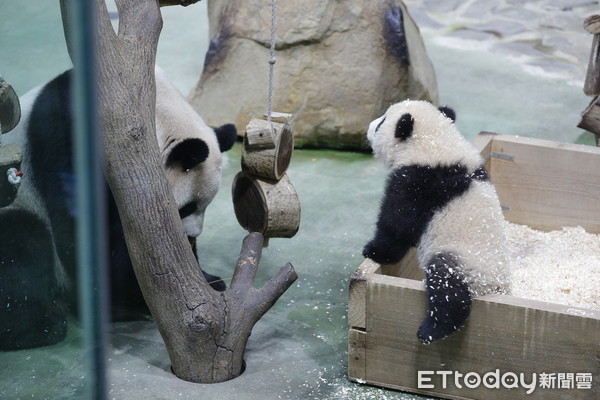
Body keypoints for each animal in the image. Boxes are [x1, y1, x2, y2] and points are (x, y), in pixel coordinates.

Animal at [0, 67, 238, 348]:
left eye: (205, 206)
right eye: (187, 207)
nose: (192, 235)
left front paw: (207, 280)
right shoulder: (66, 132)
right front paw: (129, 297)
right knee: (23, 244)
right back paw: (41, 326)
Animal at [364, 99, 508, 344]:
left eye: (382, 122)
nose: (369, 126)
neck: (435, 144)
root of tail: (491, 289)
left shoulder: (418, 183)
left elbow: (397, 225)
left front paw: (374, 250)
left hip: (463, 262)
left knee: (447, 287)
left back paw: (432, 330)